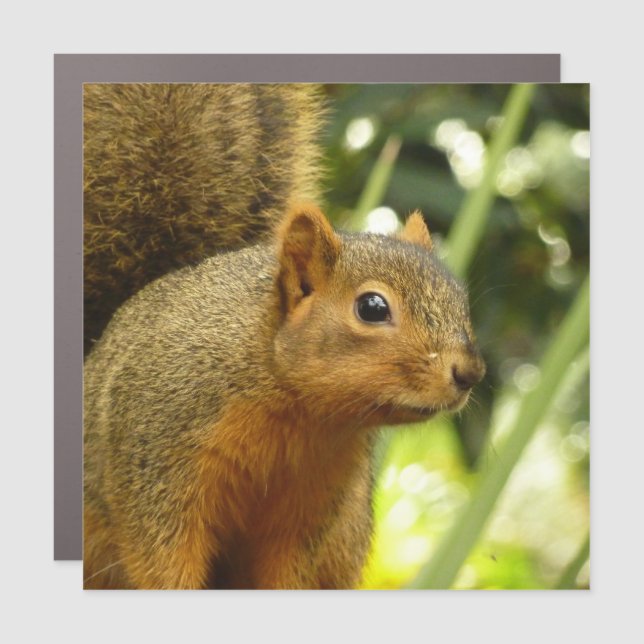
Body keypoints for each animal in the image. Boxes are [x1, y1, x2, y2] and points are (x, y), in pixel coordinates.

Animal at [82, 84, 486, 589]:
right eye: (372, 308)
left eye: (460, 299)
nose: (470, 372)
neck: (297, 413)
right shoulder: (158, 458)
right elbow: (161, 558)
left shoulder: (313, 504)